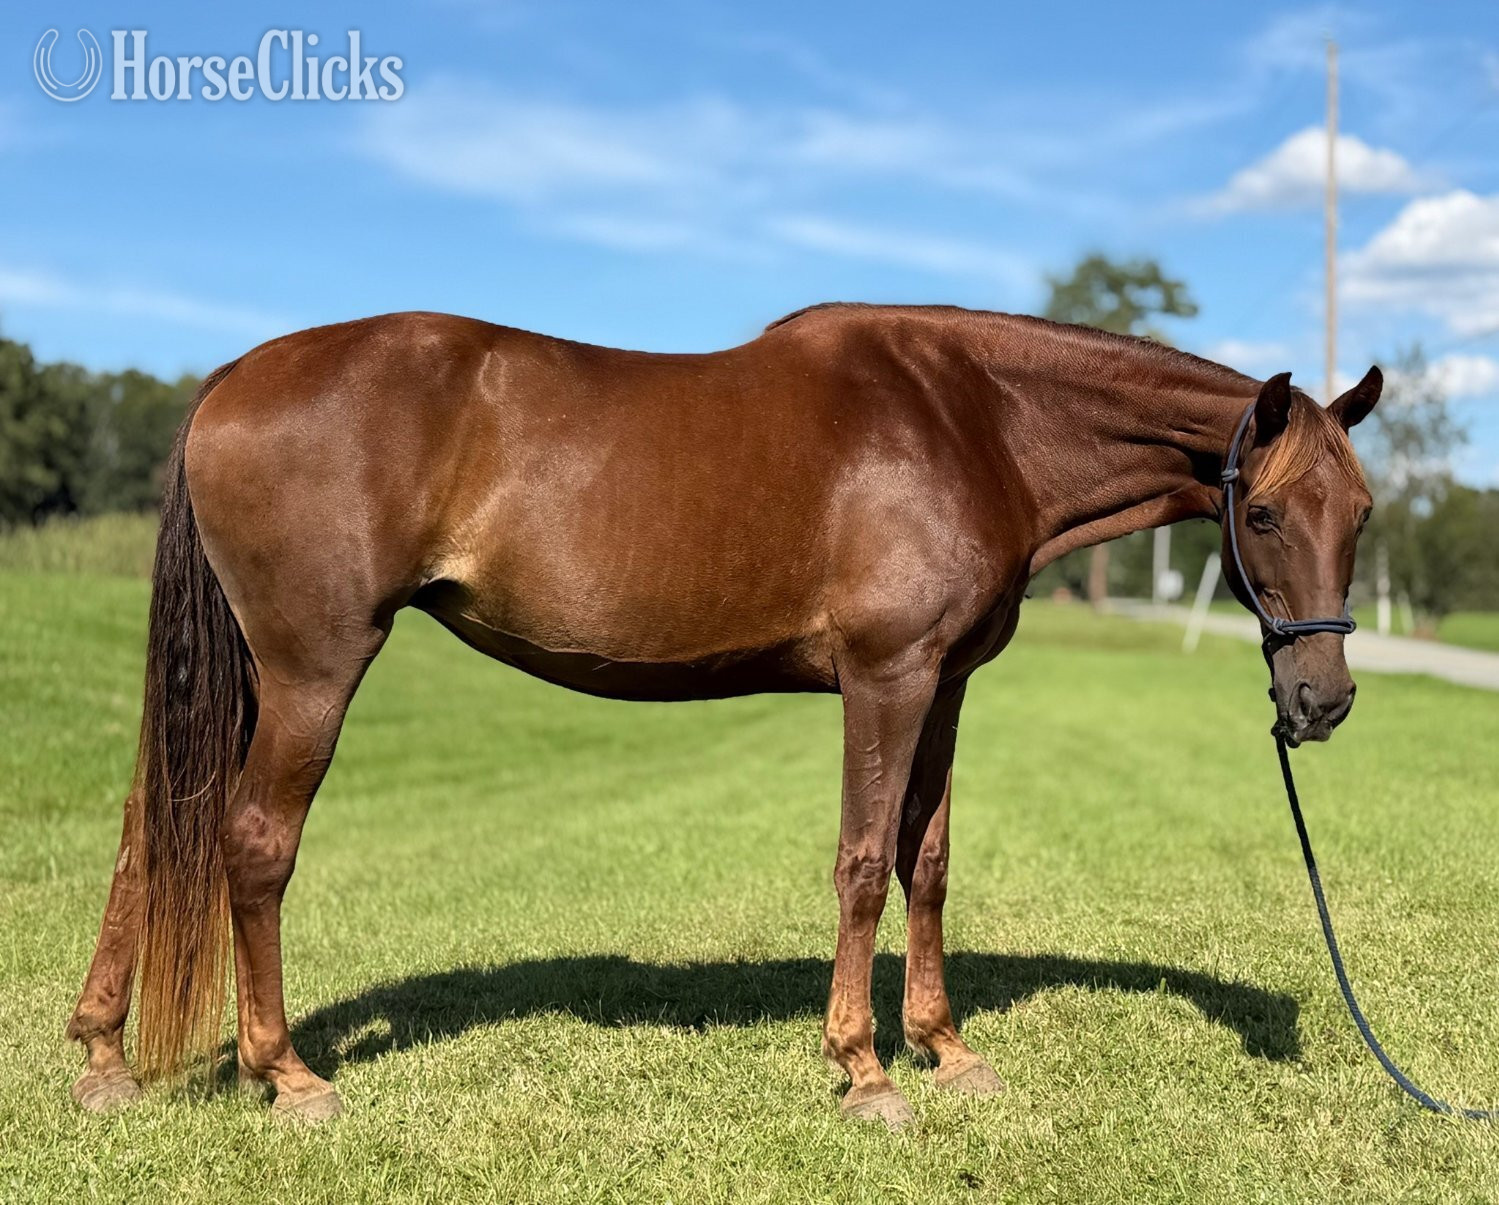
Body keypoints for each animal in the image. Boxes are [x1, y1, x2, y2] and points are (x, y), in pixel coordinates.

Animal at [65, 303, 1381, 1127]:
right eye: (1262, 514)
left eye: (1360, 511)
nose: (1319, 701)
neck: (973, 420)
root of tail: (229, 381)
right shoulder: (886, 676)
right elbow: (862, 861)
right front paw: (864, 1070)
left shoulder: (947, 682)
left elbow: (928, 860)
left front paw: (944, 1048)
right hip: (309, 670)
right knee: (251, 843)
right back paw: (286, 1074)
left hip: (244, 677)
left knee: (151, 829)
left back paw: (100, 1056)